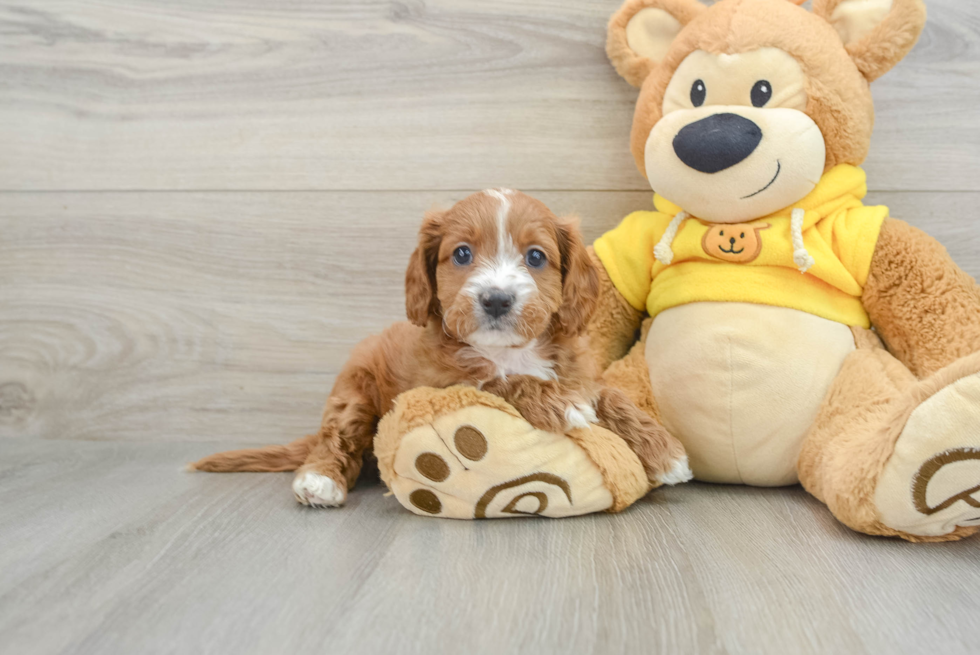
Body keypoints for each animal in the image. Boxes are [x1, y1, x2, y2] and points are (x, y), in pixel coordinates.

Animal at [191, 190, 688, 508]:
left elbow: (612, 396)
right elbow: (501, 382)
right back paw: (320, 480)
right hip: (355, 391)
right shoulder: (445, 381)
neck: (510, 350)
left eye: (536, 257)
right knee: (338, 437)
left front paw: (666, 451)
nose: (496, 299)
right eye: (462, 254)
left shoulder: (578, 369)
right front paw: (560, 404)